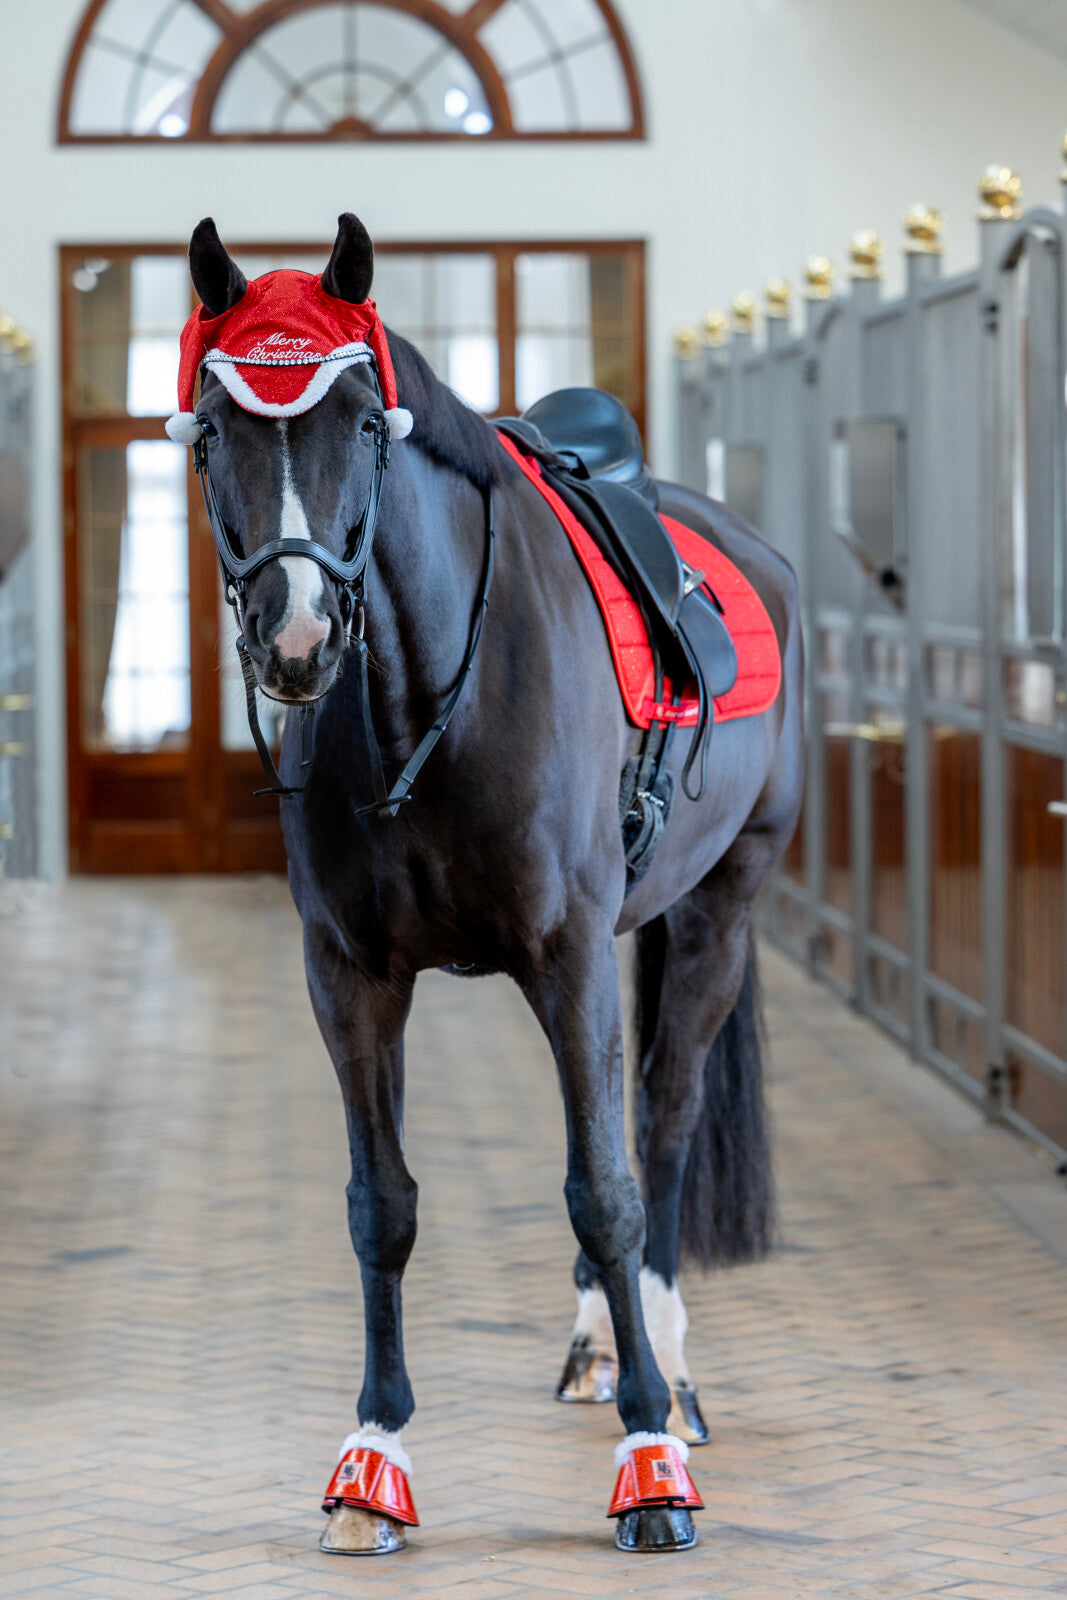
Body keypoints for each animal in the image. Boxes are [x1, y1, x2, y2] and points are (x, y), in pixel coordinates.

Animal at [174, 213, 804, 1556]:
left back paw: (667, 1375)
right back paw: (598, 1346)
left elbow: (606, 1191)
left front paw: (648, 1467)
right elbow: (382, 1204)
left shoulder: (565, 957)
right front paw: (369, 1459)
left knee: (662, 1120)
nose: (296, 638)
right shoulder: (348, 973)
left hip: (719, 911)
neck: (424, 697)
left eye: (364, 420)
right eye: (209, 429)